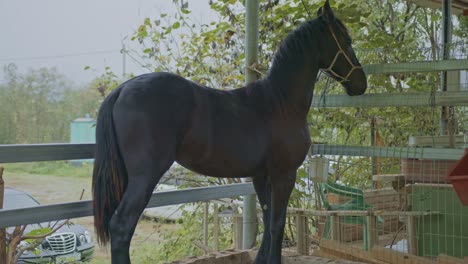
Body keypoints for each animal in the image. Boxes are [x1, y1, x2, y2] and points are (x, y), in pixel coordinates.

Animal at [93, 1, 368, 262]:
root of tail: (122, 90)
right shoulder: (284, 174)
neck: (280, 102)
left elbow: (268, 221)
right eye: (347, 41)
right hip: (145, 177)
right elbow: (277, 224)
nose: (361, 83)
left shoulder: (262, 176)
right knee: (122, 226)